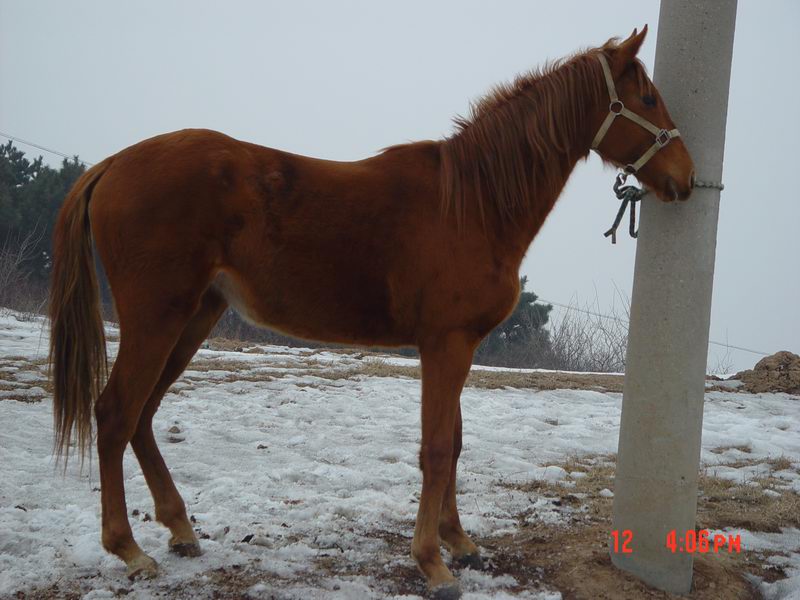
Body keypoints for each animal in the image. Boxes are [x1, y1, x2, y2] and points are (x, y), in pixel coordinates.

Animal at [48, 29, 692, 600]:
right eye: (647, 98)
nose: (686, 179)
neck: (472, 204)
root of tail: (112, 164)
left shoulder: (458, 346)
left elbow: (454, 443)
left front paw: (459, 542)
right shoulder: (445, 344)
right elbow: (436, 449)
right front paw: (433, 564)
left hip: (193, 319)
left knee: (143, 416)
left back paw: (181, 529)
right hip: (158, 317)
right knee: (115, 414)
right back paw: (130, 551)